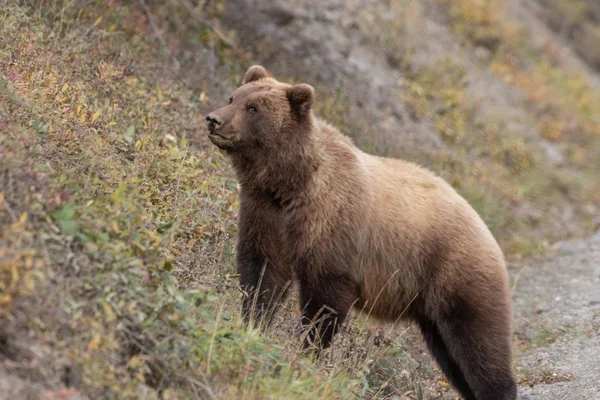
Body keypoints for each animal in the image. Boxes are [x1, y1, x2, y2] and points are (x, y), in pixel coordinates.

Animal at [205, 65, 516, 400]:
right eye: (233, 97)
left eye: (253, 108)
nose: (214, 119)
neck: (288, 184)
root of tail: (487, 231)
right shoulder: (266, 216)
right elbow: (262, 275)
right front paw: (253, 324)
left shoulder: (332, 228)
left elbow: (324, 302)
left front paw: (308, 353)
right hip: (432, 310)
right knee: (452, 357)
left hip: (458, 277)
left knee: (479, 345)